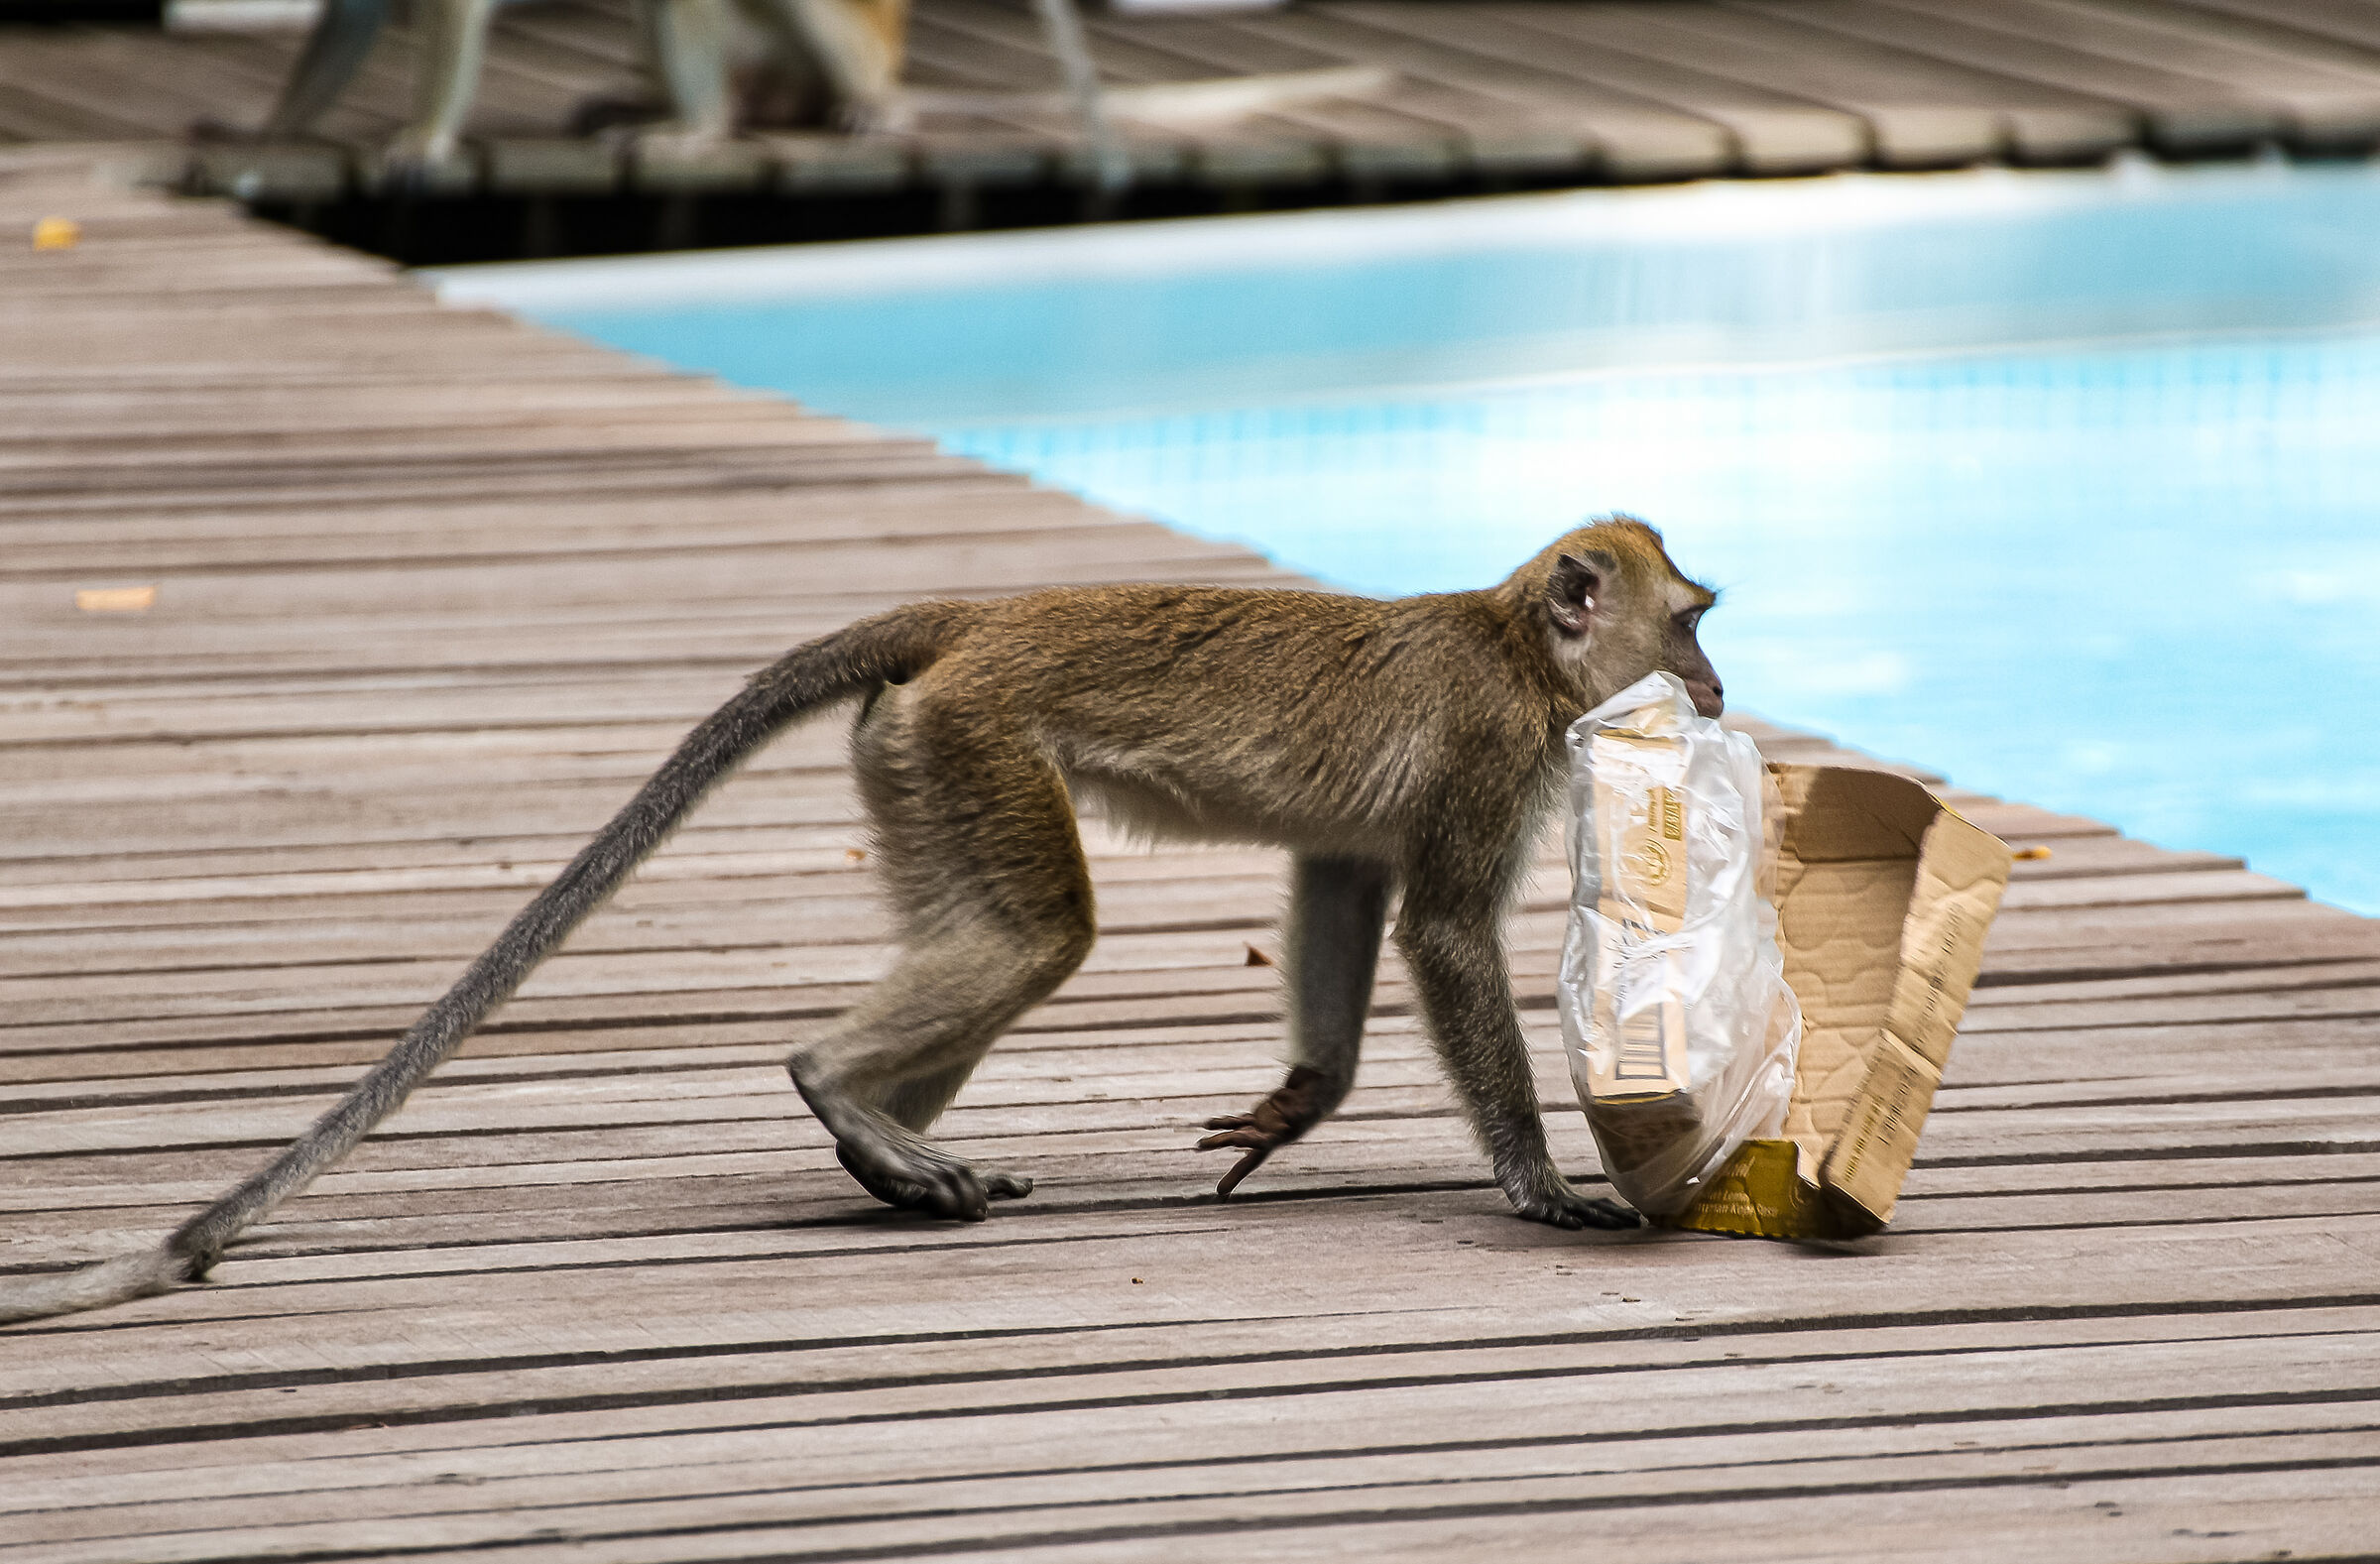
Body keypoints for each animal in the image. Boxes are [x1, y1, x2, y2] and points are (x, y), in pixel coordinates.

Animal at [0, 518, 1724, 1325]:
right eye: (1692, 621)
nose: (1713, 685)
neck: (1514, 640)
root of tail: (973, 621)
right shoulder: (1496, 752)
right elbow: (1442, 932)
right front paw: (1540, 1188)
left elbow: (1347, 881)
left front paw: (1298, 1104)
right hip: (974, 740)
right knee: (1040, 938)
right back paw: (842, 1092)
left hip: (913, 759)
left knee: (1000, 935)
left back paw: (883, 1144)